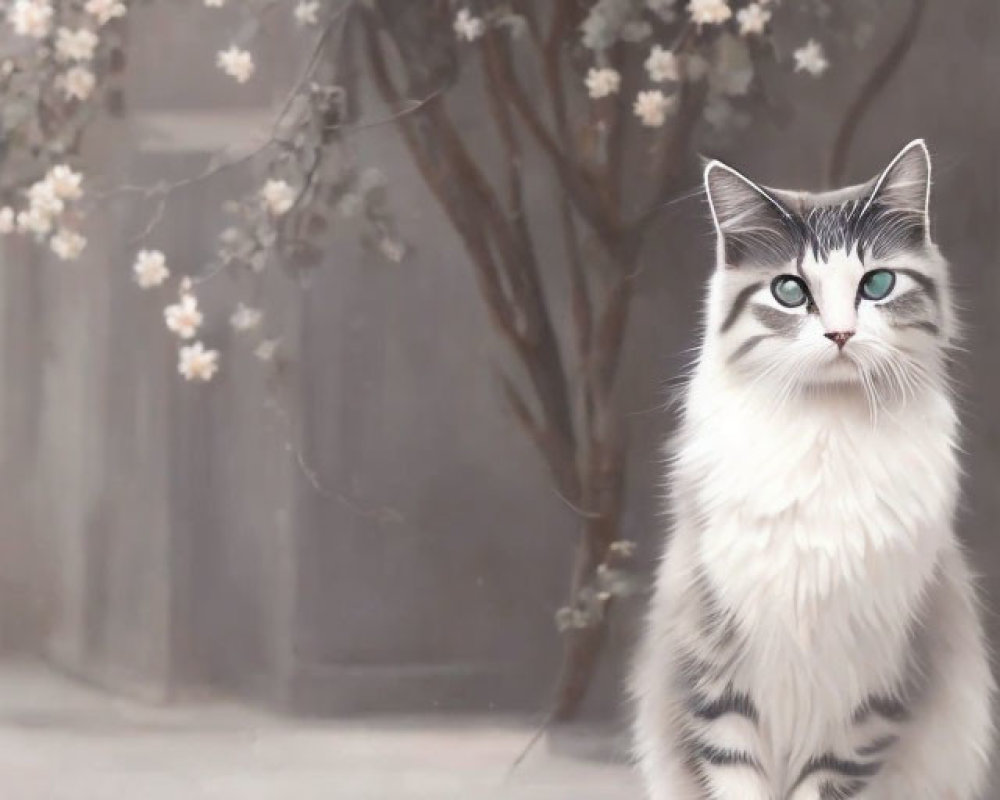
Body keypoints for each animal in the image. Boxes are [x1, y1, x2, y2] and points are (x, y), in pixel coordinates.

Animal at [632, 144, 992, 800]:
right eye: (789, 291)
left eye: (877, 284)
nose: (841, 334)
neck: (827, 435)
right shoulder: (717, 665)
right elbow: (737, 776)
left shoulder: (872, 689)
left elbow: (824, 781)